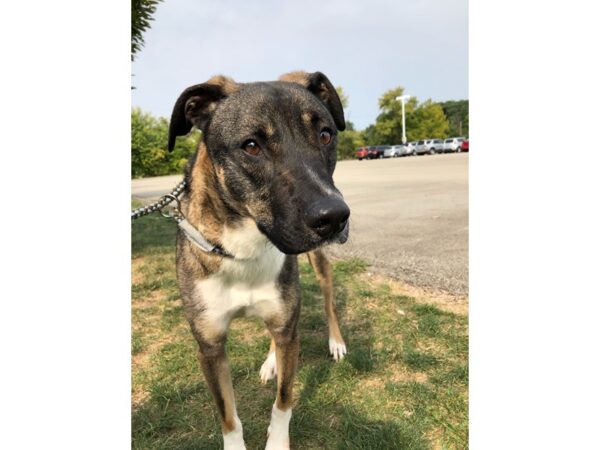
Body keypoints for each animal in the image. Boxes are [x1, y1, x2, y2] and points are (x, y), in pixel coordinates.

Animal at [166, 71, 350, 450]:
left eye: (325, 135)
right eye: (251, 146)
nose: (335, 217)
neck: (244, 249)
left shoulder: (288, 328)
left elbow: (283, 401)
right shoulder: (209, 346)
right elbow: (228, 416)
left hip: (317, 267)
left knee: (326, 300)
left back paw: (334, 342)